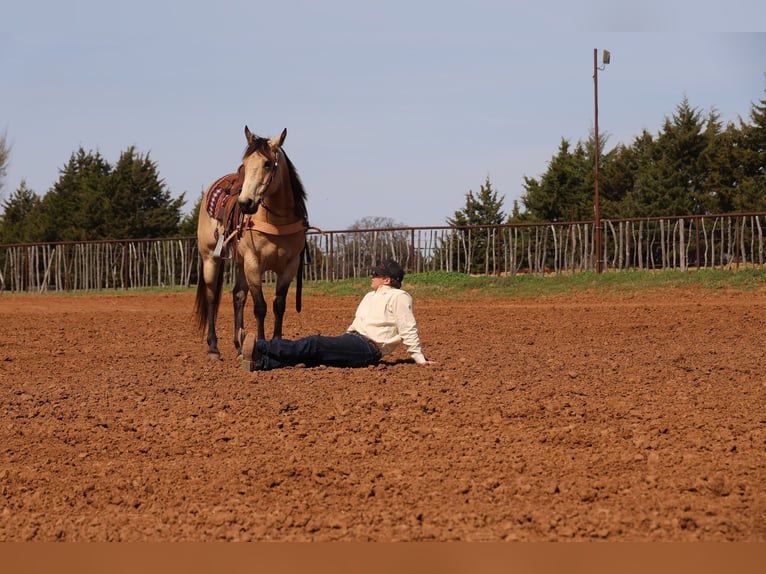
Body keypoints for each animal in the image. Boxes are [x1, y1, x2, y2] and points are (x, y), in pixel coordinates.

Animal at [194, 126, 309, 359]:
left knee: (238, 296)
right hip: (211, 258)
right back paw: (213, 348)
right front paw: (261, 346)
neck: (276, 223)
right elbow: (260, 307)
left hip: (239, 263)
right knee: (211, 297)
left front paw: (276, 342)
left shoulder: (290, 266)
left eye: (267, 163)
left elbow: (278, 305)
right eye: (246, 163)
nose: (245, 203)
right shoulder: (253, 263)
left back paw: (239, 346)